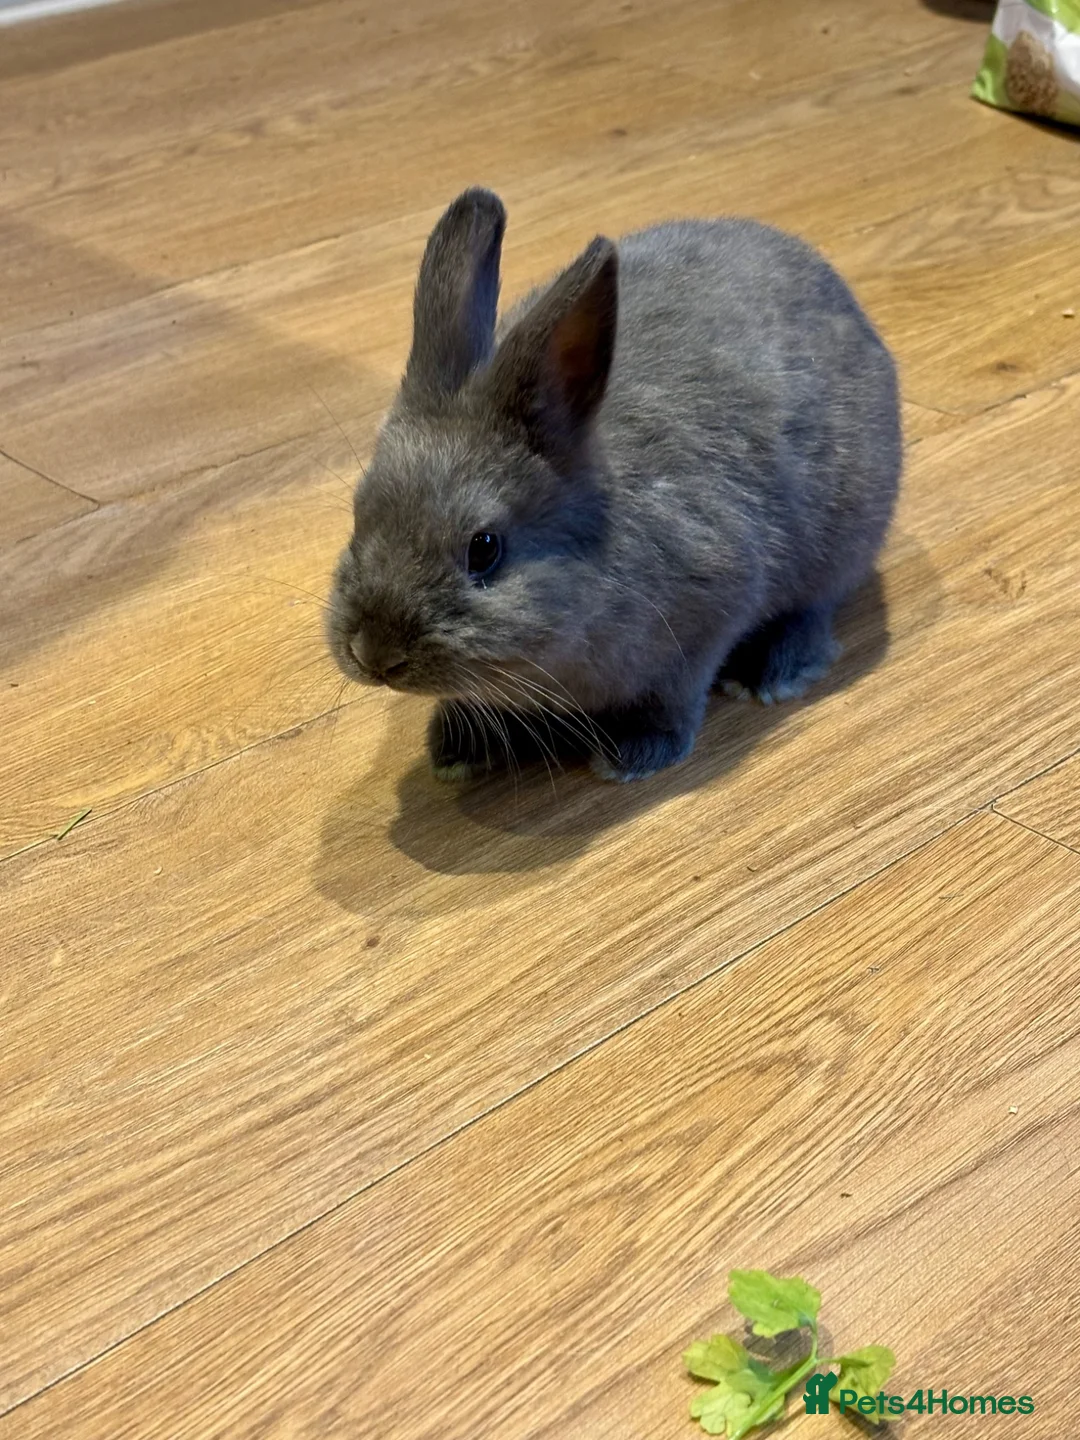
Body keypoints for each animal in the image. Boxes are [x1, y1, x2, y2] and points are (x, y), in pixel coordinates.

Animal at [327, 187, 901, 782]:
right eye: (358, 517)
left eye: (484, 549)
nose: (373, 653)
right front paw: (457, 751)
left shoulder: (706, 619)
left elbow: (672, 697)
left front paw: (635, 754)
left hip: (845, 539)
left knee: (815, 610)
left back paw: (769, 675)